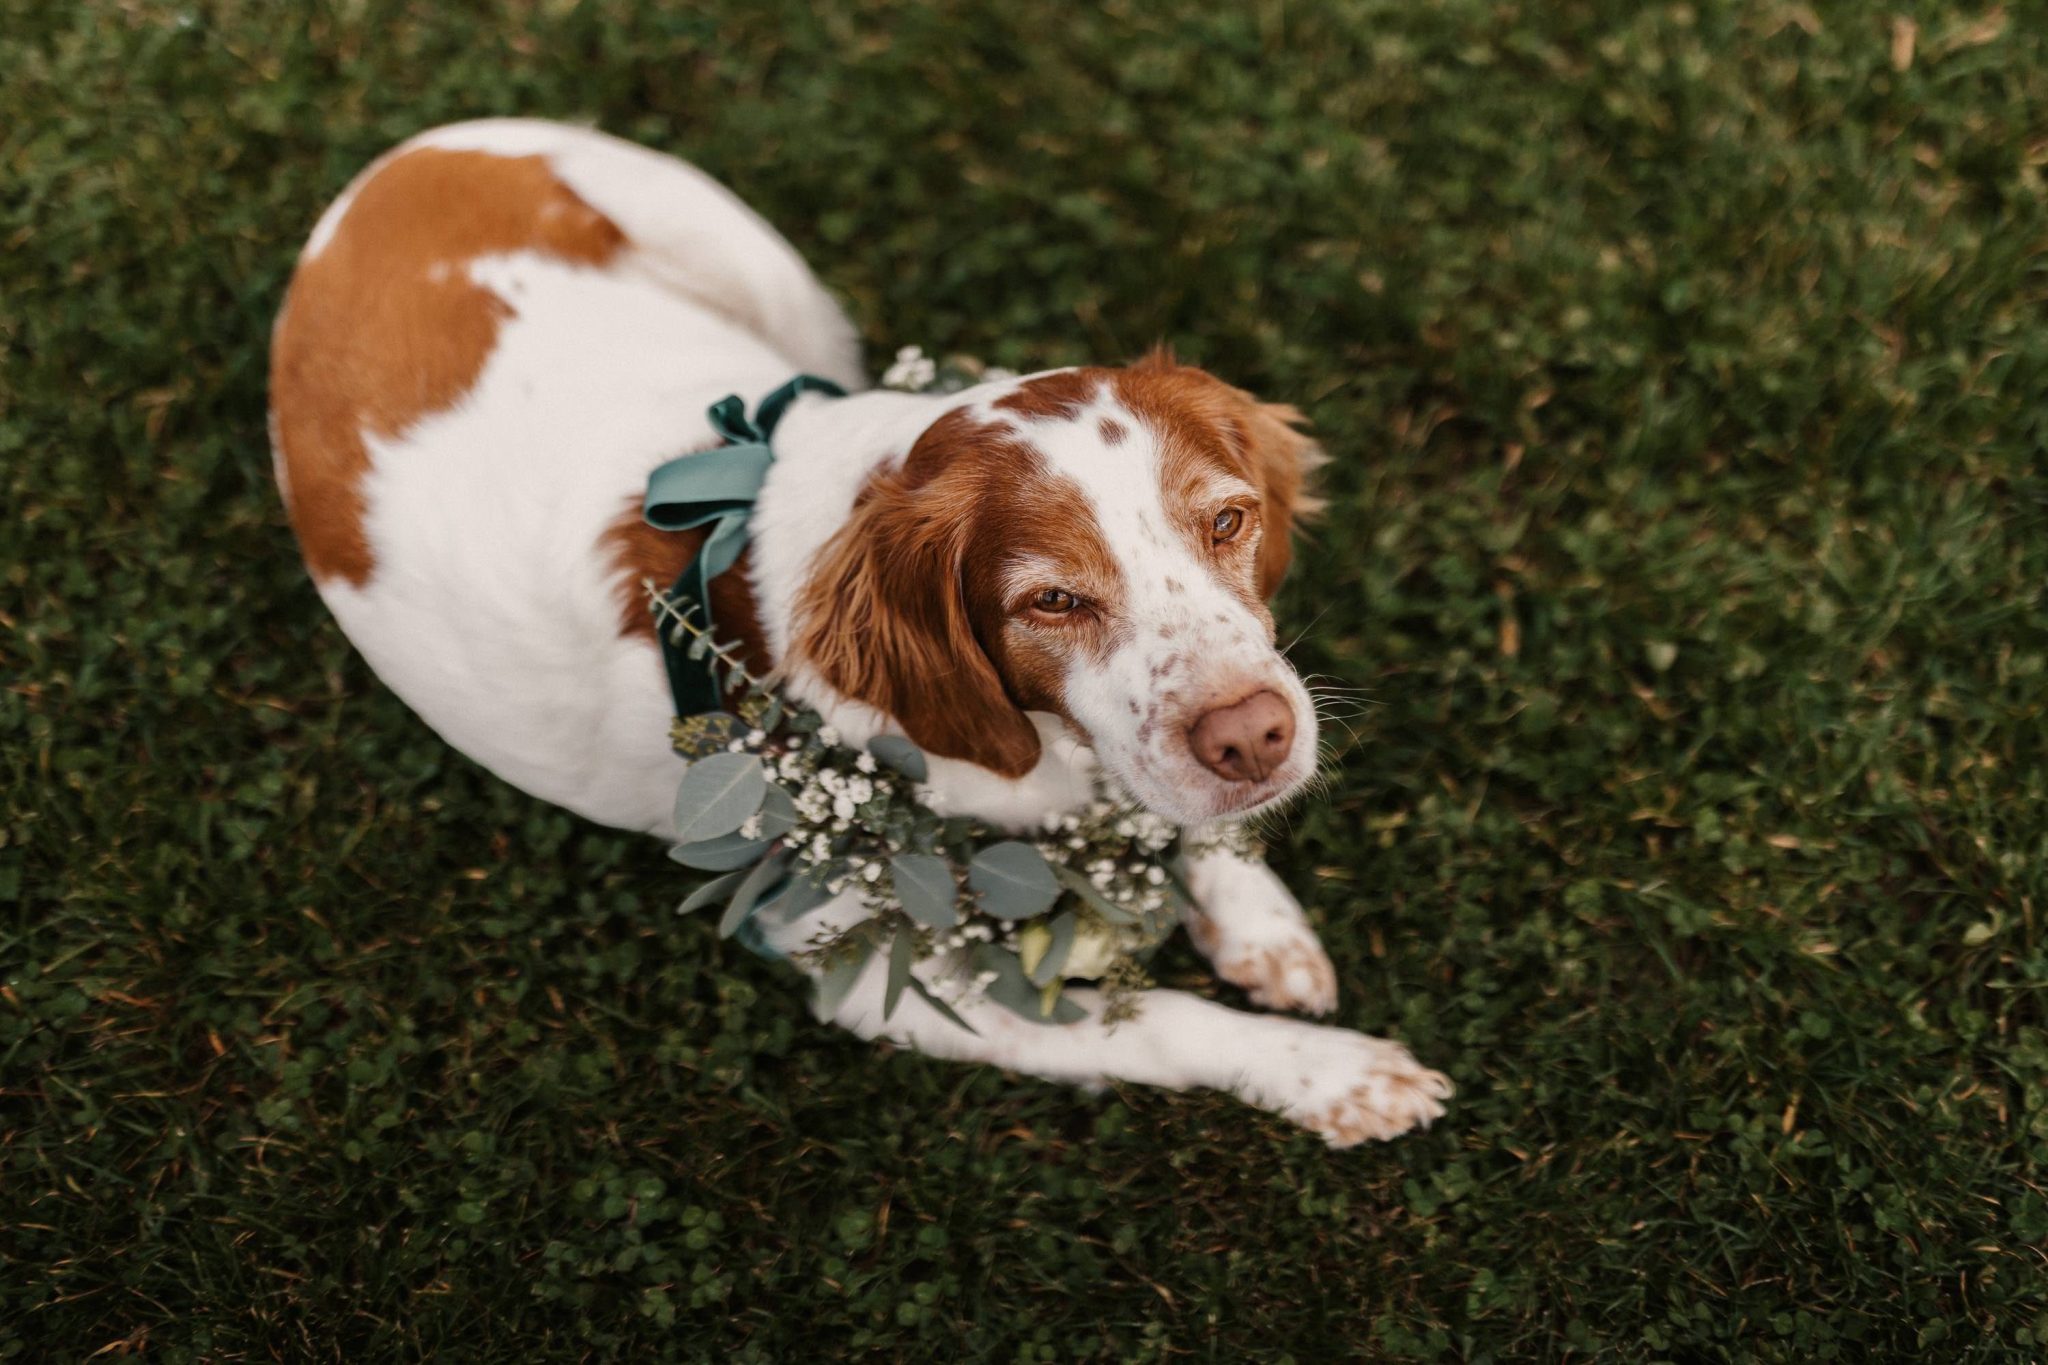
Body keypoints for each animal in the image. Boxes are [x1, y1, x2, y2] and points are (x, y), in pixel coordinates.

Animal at [272, 117, 1449, 1146]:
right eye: (1050, 602)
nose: (1253, 739)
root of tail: (399, 161)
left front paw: (1261, 922)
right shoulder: (899, 979)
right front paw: (1338, 1074)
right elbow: (1161, 1020)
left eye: (1227, 521)